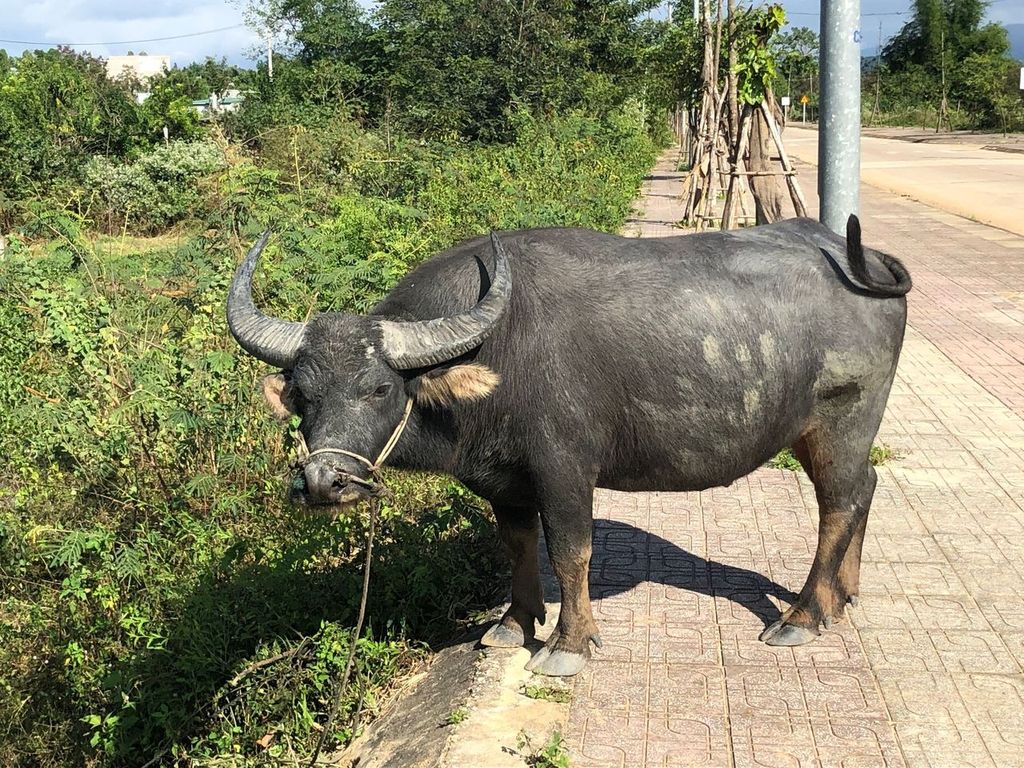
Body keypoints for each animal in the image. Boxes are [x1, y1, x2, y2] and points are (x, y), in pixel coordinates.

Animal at [227, 215, 911, 676]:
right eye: (302, 395)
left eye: (377, 388)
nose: (324, 483)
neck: (497, 351)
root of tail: (861, 259)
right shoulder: (503, 480)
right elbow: (517, 544)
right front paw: (513, 624)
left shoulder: (564, 467)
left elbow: (571, 551)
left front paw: (568, 644)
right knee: (865, 488)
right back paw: (843, 595)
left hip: (842, 419)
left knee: (838, 504)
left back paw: (803, 616)